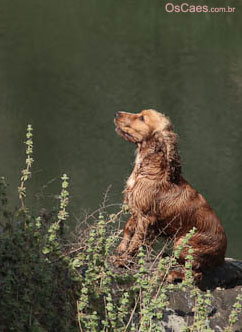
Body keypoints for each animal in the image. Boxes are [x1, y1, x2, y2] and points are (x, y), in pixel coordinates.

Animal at [113, 110, 227, 282]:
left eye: (142, 118)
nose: (117, 113)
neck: (148, 167)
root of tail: (222, 256)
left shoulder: (145, 217)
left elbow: (136, 240)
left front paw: (123, 260)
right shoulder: (137, 209)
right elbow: (128, 228)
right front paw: (120, 249)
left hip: (181, 243)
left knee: (195, 274)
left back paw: (173, 275)